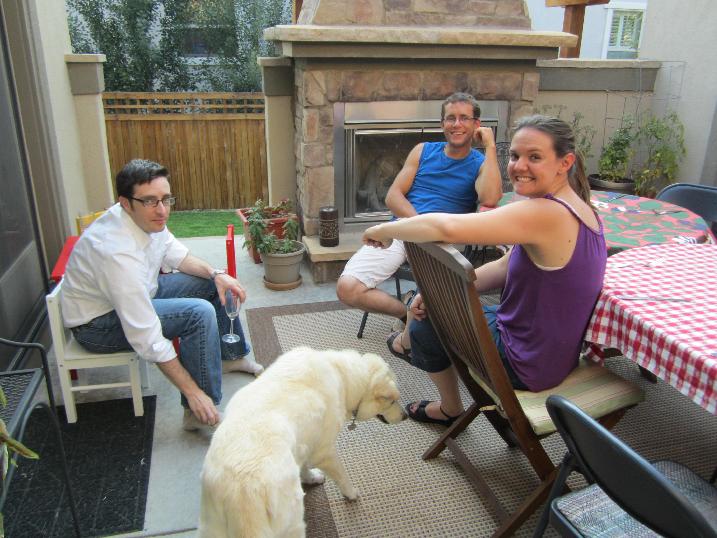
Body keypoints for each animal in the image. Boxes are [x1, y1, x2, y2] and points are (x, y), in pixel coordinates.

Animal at [199, 346, 406, 537]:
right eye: (392, 401)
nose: (406, 416)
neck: (342, 375)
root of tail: (242, 490)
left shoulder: (305, 442)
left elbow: (305, 465)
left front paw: (311, 477)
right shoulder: (326, 451)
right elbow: (342, 475)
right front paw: (351, 493)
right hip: (293, 522)